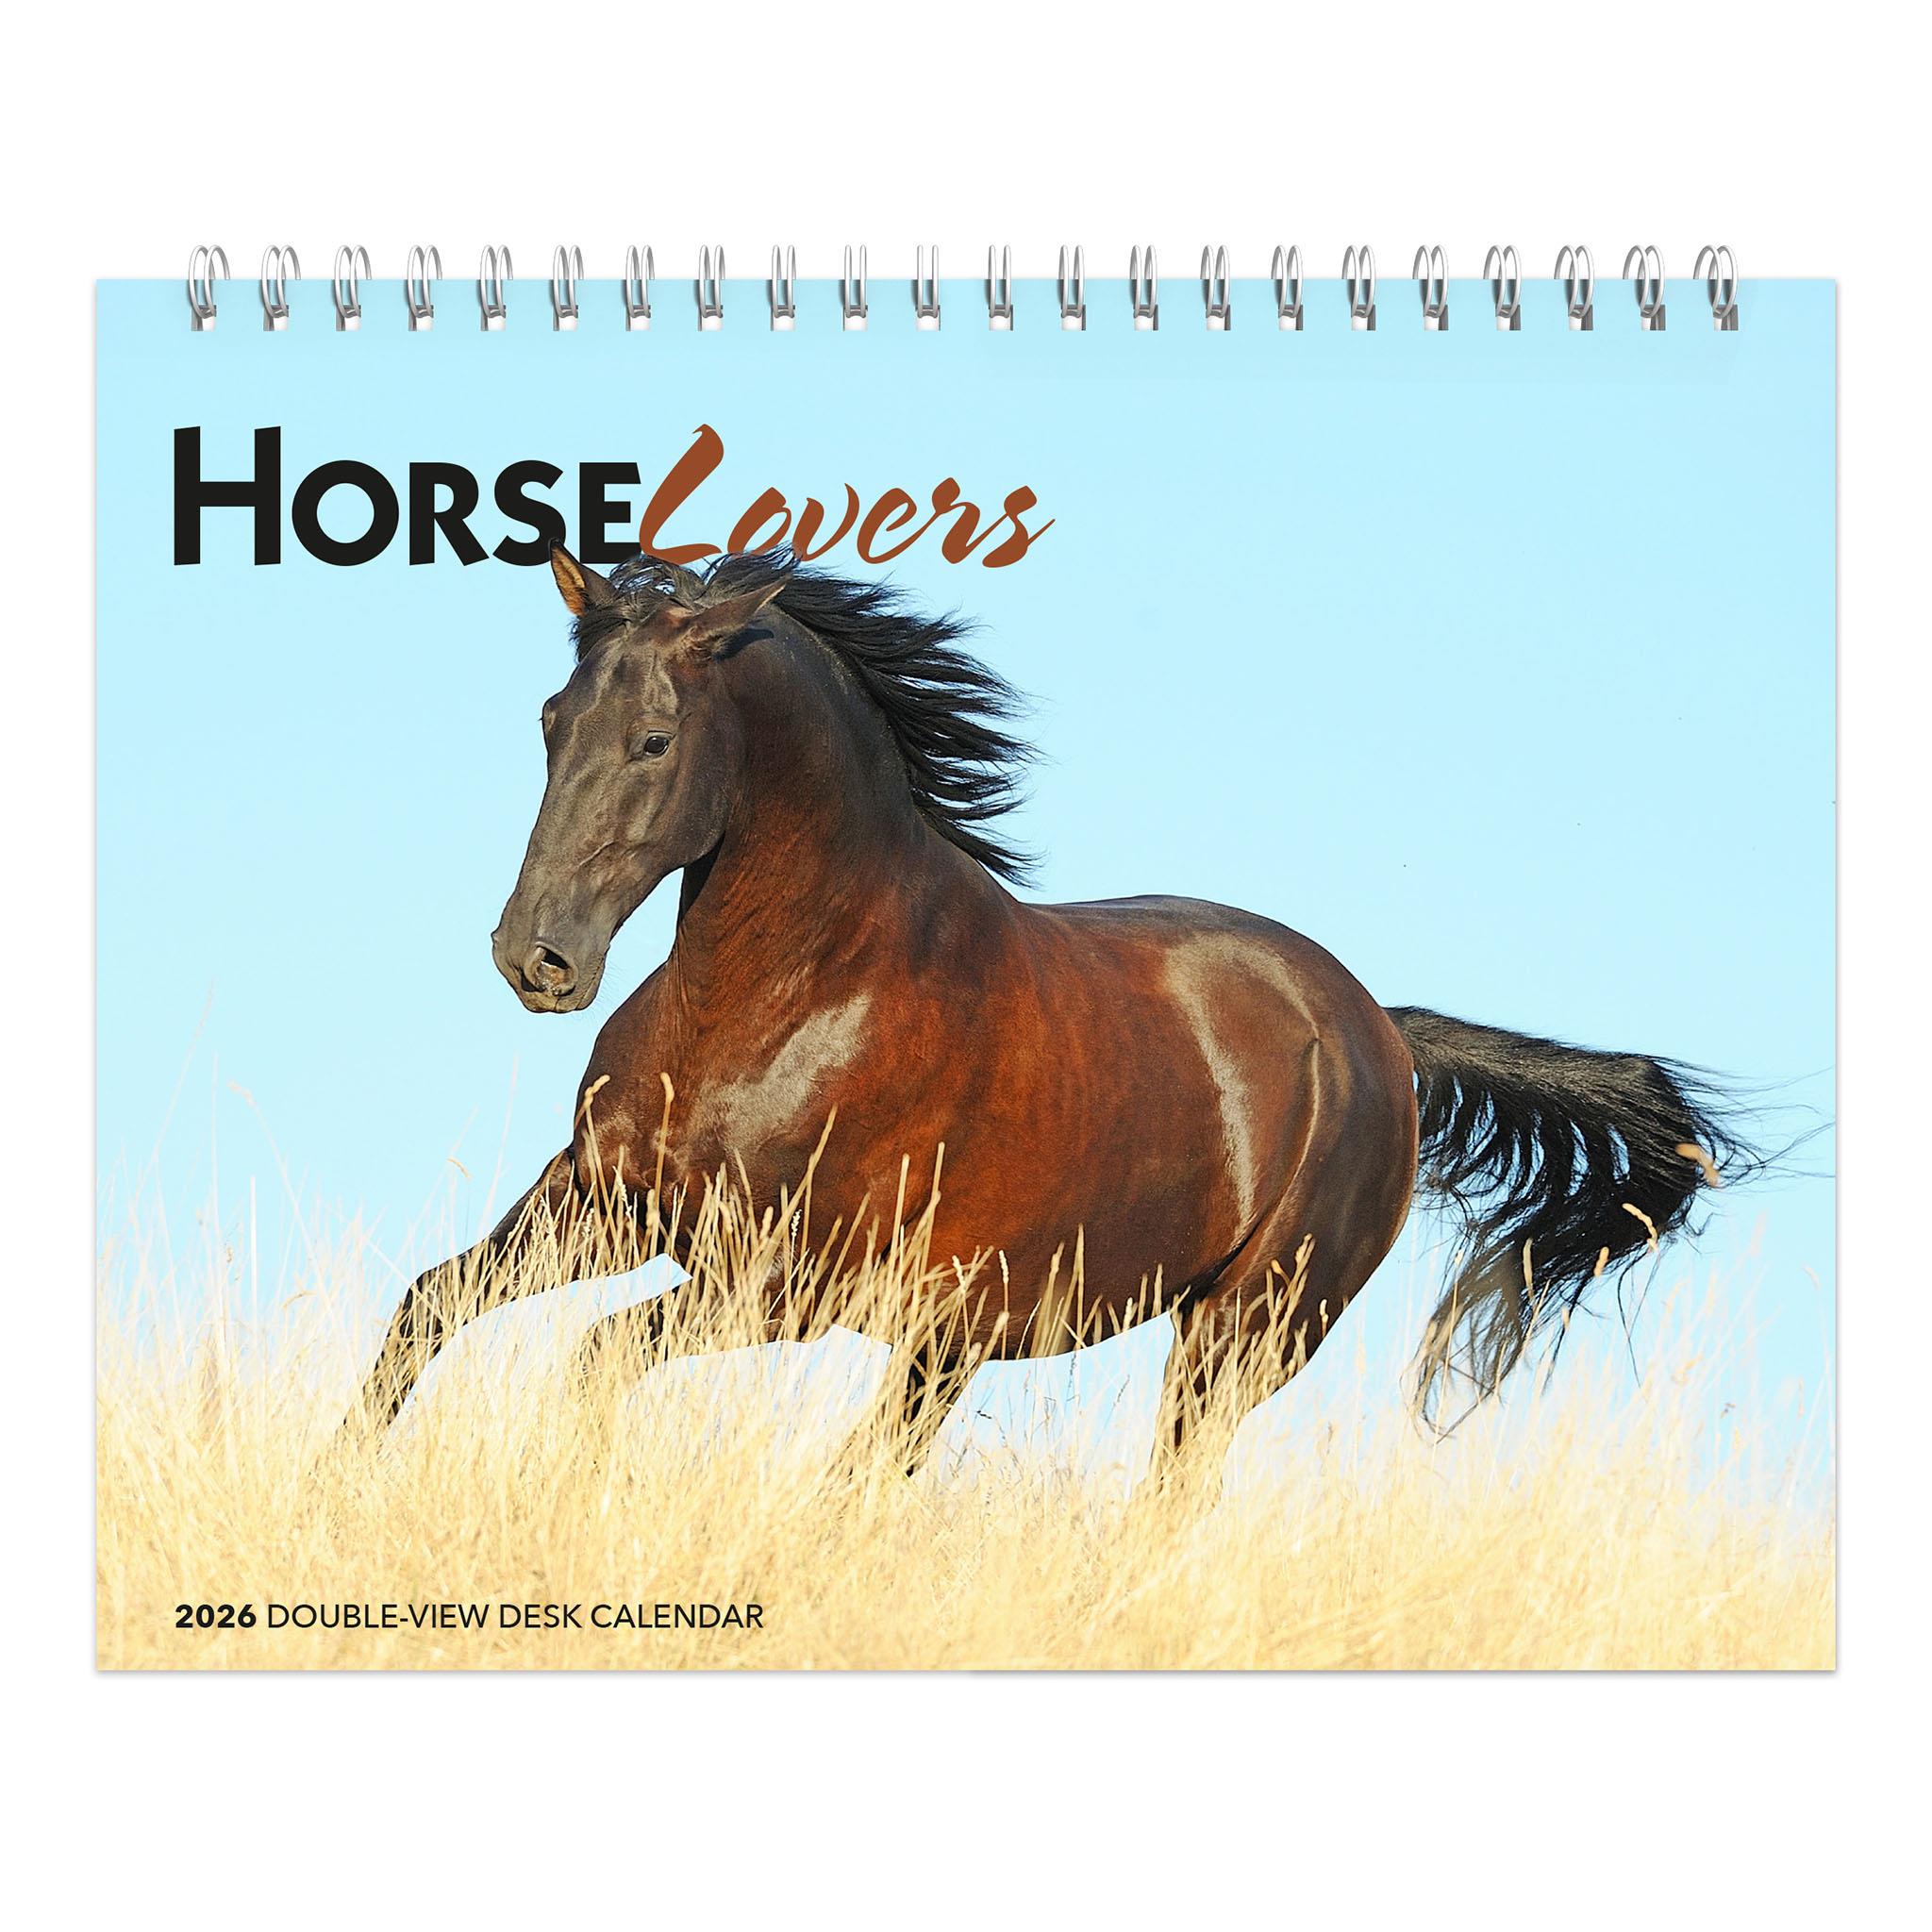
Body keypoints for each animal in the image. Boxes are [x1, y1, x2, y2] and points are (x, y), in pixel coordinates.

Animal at [345, 545, 1744, 1477]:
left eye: (653, 739)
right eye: (551, 719)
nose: (536, 956)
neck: (790, 997)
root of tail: (1379, 1036)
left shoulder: (781, 1279)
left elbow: (591, 1366)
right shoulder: (600, 1199)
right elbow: (428, 1308)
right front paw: (338, 1483)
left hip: (1241, 1334)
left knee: (1165, 1490)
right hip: (952, 1340)